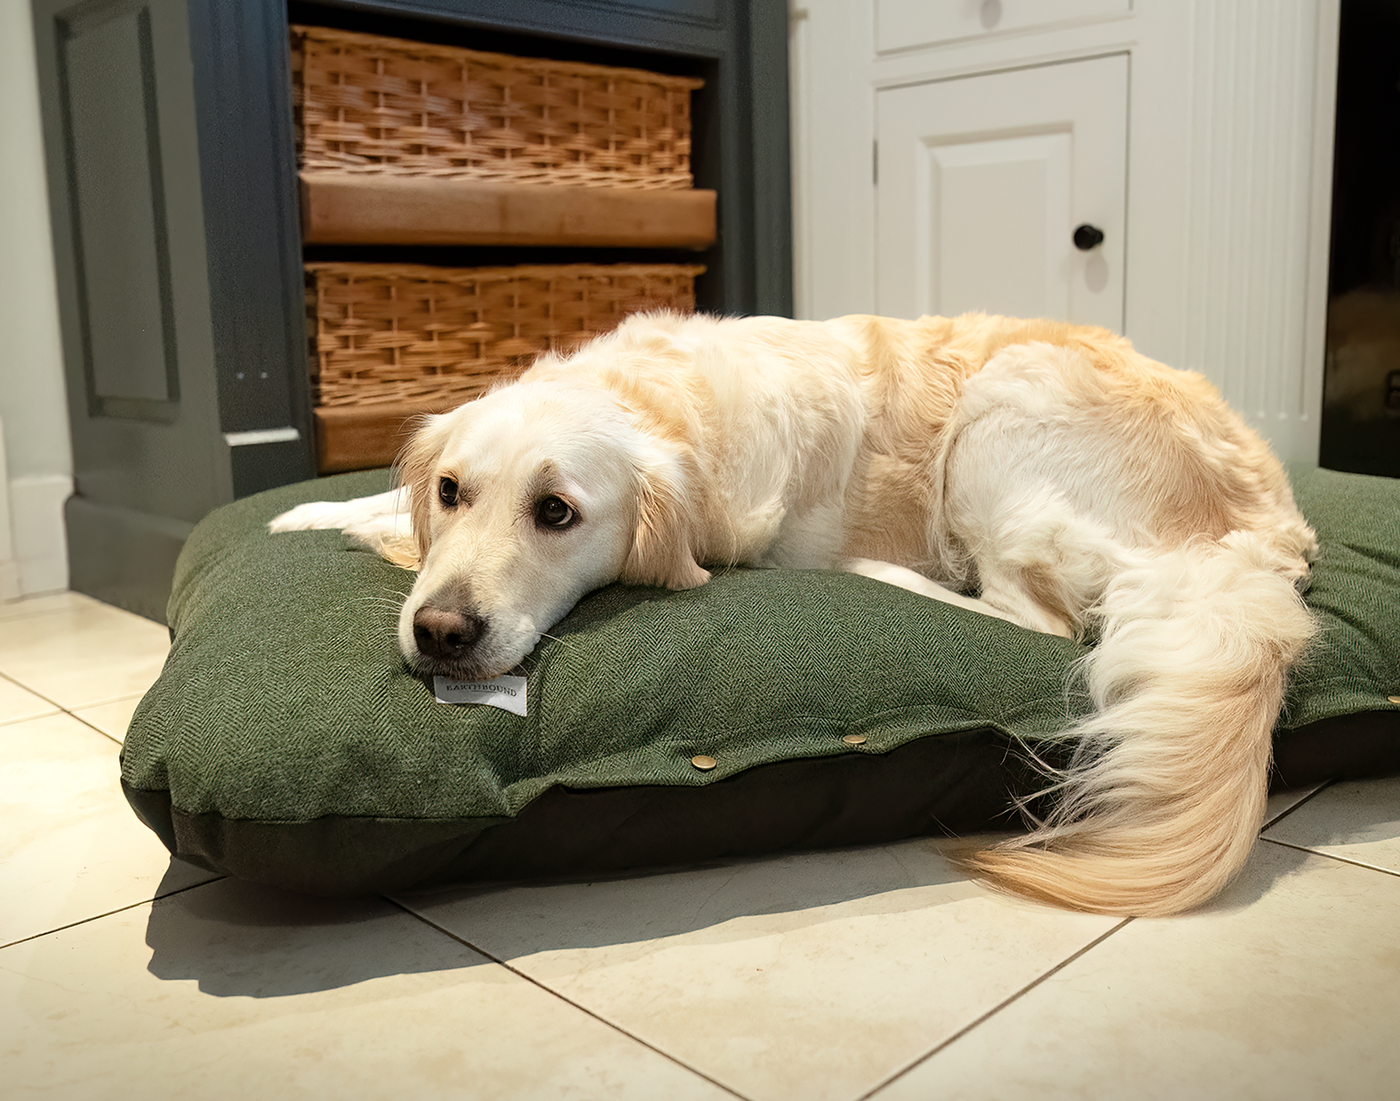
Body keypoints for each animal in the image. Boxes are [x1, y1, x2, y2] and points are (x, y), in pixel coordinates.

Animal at [270, 310, 1310, 918]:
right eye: (451, 490)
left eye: (556, 512)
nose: (440, 632)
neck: (665, 404)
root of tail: (1262, 535)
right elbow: (375, 503)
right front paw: (307, 514)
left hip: (1002, 412)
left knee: (1028, 617)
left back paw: (871, 570)